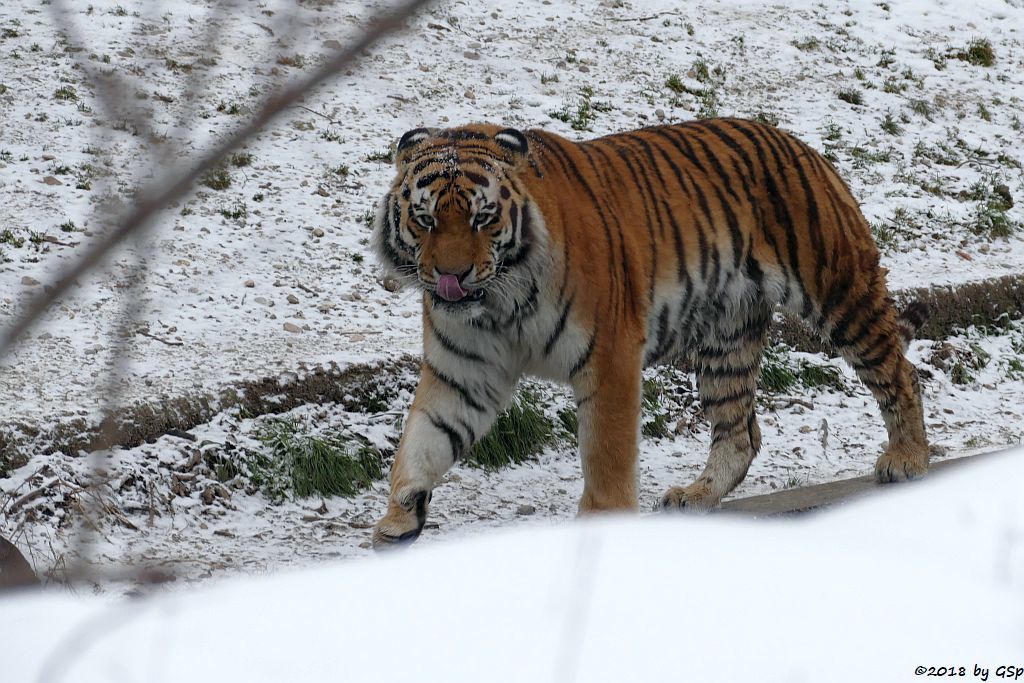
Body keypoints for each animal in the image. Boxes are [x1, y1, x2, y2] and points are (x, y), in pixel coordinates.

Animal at [368, 116, 929, 544]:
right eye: (425, 219)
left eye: (482, 219)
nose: (451, 276)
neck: (499, 301)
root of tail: (796, 141)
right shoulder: (465, 372)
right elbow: (422, 439)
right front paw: (399, 518)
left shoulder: (609, 357)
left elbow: (607, 453)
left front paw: (602, 521)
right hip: (727, 337)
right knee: (740, 431)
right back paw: (696, 497)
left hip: (838, 291)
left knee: (900, 372)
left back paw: (907, 460)